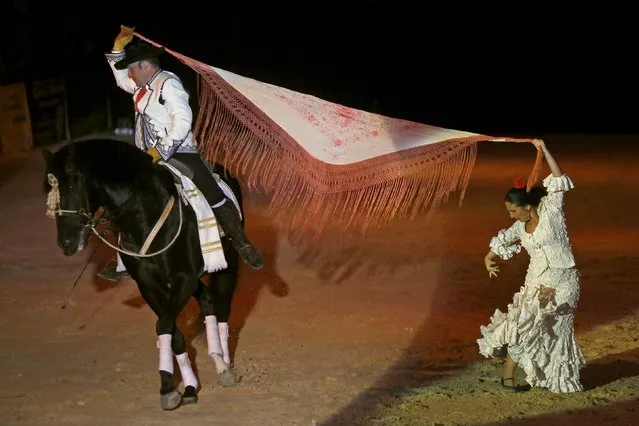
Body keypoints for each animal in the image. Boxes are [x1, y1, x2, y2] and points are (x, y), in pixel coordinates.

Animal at [42, 139, 242, 410]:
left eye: (73, 182)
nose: (66, 242)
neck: (144, 213)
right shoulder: (149, 285)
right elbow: (172, 332)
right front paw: (183, 387)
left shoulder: (184, 279)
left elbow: (164, 325)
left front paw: (169, 388)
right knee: (208, 300)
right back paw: (217, 361)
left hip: (228, 265)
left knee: (222, 307)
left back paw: (226, 368)